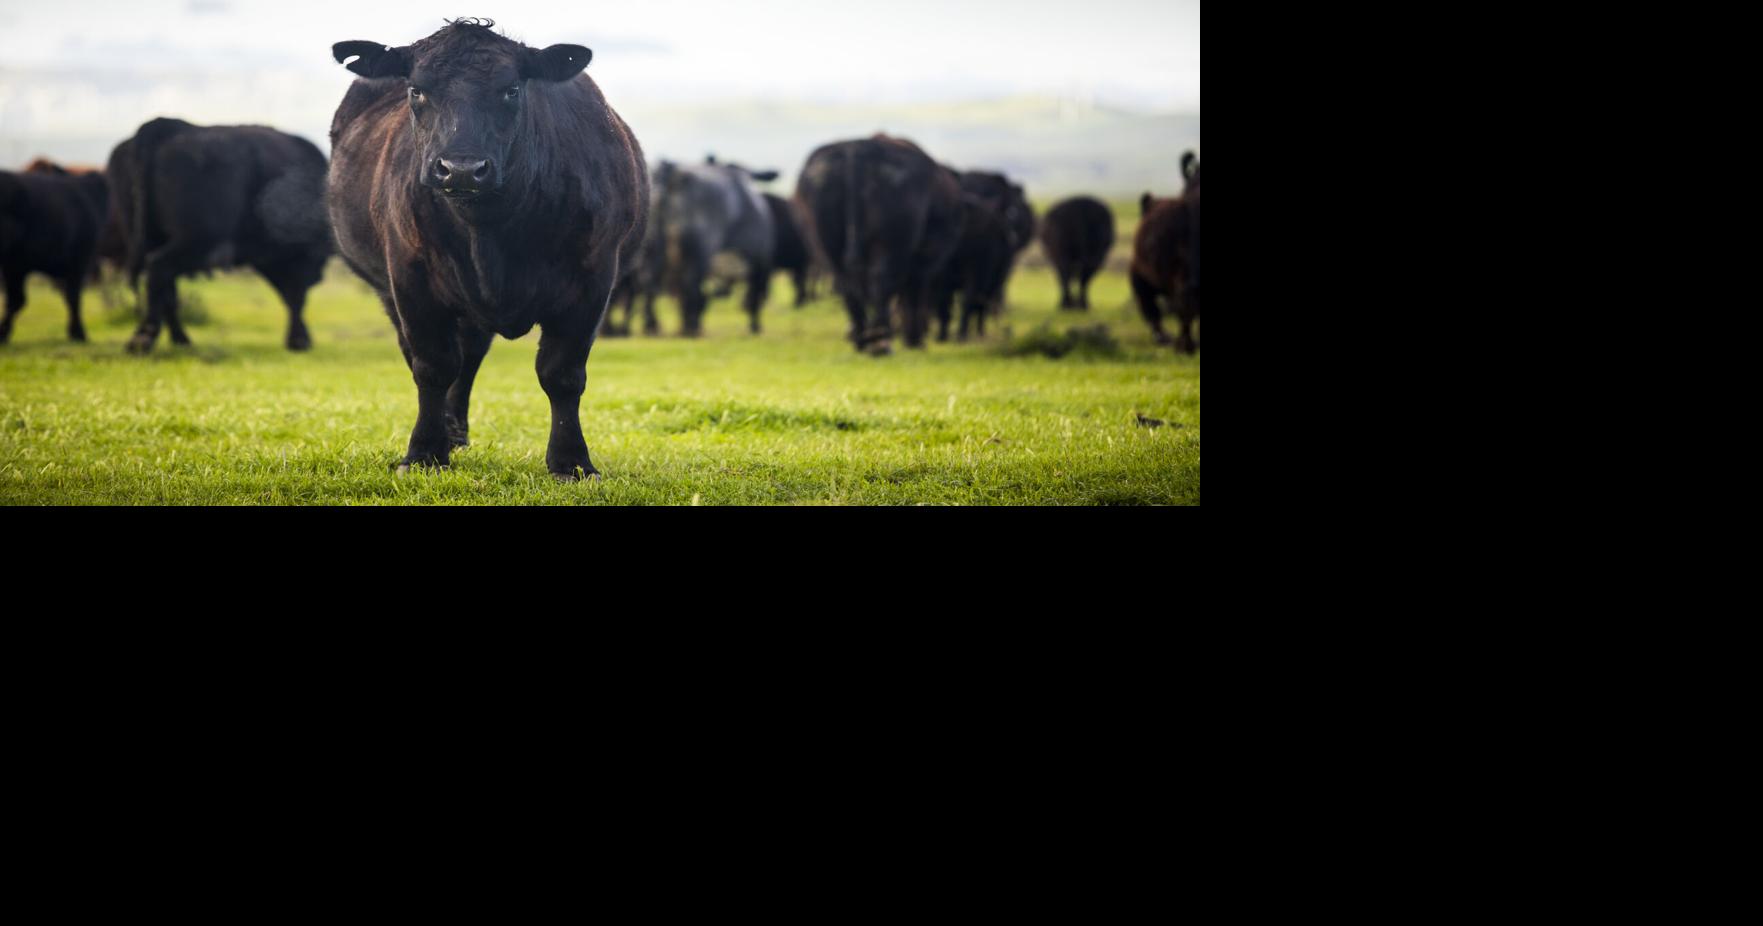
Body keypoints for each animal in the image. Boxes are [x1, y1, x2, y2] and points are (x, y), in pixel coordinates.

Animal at [110, 118, 331, 354]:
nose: (319, 277)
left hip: (150, 237)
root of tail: (167, 127)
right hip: (196, 242)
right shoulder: (296, 258)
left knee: (165, 287)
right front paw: (299, 339)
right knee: (159, 270)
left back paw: (180, 339)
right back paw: (145, 339)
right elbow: (295, 296)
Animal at [327, 18, 648, 480]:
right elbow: (433, 366)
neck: (490, 233)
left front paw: (571, 461)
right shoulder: (409, 277)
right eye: (416, 90)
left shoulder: (593, 278)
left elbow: (562, 373)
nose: (461, 169)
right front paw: (424, 452)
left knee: (471, 354)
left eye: (512, 89)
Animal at [652, 158, 776, 336]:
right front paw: (755, 327)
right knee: (690, 286)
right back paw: (691, 327)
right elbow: (753, 298)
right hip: (699, 255)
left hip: (657, 254)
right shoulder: (760, 262)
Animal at [795, 134, 963, 354]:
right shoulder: (926, 259)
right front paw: (914, 339)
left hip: (828, 247)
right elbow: (913, 294)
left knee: (848, 286)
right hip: (891, 246)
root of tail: (857, 148)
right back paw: (882, 343)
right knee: (881, 283)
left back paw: (862, 339)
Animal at [931, 169, 1034, 342]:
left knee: (980, 304)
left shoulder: (977, 273)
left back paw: (975, 331)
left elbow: (966, 301)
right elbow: (945, 303)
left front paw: (959, 334)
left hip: (990, 278)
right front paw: (943, 335)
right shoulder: (943, 277)